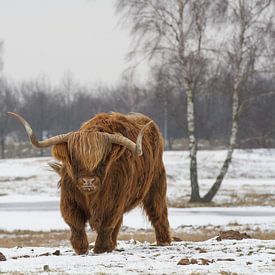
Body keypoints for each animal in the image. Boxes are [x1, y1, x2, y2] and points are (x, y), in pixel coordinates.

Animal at [8, 111, 171, 254]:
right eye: (74, 158)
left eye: (102, 160)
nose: (88, 181)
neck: (91, 197)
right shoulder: (69, 200)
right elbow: (75, 223)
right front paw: (80, 247)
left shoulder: (114, 201)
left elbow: (107, 224)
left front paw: (101, 248)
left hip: (156, 184)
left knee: (158, 210)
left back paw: (164, 241)